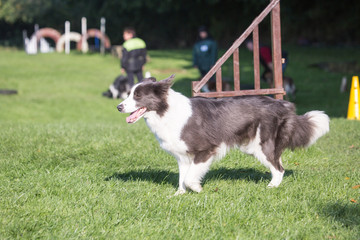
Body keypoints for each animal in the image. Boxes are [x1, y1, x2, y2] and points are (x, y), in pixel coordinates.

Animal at [117, 75, 330, 195]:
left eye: (137, 96)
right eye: (128, 94)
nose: (118, 107)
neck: (166, 111)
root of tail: (283, 105)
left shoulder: (206, 149)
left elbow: (189, 177)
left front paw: (197, 189)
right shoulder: (183, 156)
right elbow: (182, 178)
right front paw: (179, 195)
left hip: (262, 144)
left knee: (279, 168)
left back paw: (271, 188)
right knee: (279, 164)